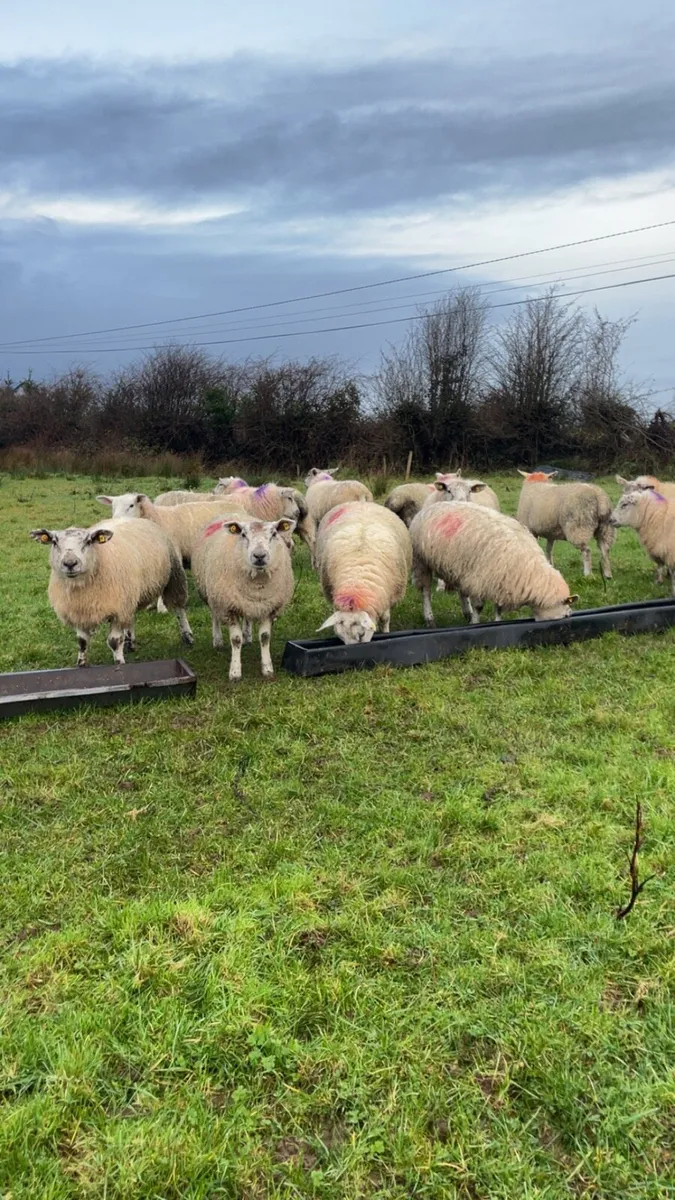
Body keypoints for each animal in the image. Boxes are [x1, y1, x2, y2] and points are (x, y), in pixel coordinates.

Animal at [30, 518, 193, 666]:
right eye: (54, 542)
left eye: (88, 541)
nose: (70, 563)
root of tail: (136, 518)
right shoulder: (80, 610)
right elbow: (82, 642)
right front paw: (81, 664)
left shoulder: (117, 609)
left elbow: (114, 642)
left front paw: (119, 663)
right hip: (130, 594)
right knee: (131, 617)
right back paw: (130, 642)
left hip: (174, 575)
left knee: (179, 608)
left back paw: (188, 636)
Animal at [191, 515, 296, 680]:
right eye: (243, 535)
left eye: (274, 534)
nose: (259, 556)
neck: (257, 585)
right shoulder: (228, 608)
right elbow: (235, 640)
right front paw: (235, 672)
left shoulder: (269, 607)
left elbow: (265, 637)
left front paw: (267, 669)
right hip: (212, 596)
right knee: (215, 616)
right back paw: (218, 641)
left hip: (245, 603)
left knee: (247, 618)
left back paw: (247, 636)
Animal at [314, 501, 412, 643]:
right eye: (340, 636)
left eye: (361, 634)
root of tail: (362, 502)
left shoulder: (388, 594)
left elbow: (385, 618)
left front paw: (386, 632)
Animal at [410, 502, 578, 626]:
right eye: (565, 615)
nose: (568, 616)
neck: (530, 571)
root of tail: (432, 506)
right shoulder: (480, 579)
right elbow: (479, 606)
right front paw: (475, 623)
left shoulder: (501, 582)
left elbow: (499, 608)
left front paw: (496, 622)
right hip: (421, 561)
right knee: (425, 591)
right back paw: (429, 618)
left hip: (458, 567)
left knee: (461, 591)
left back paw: (466, 612)